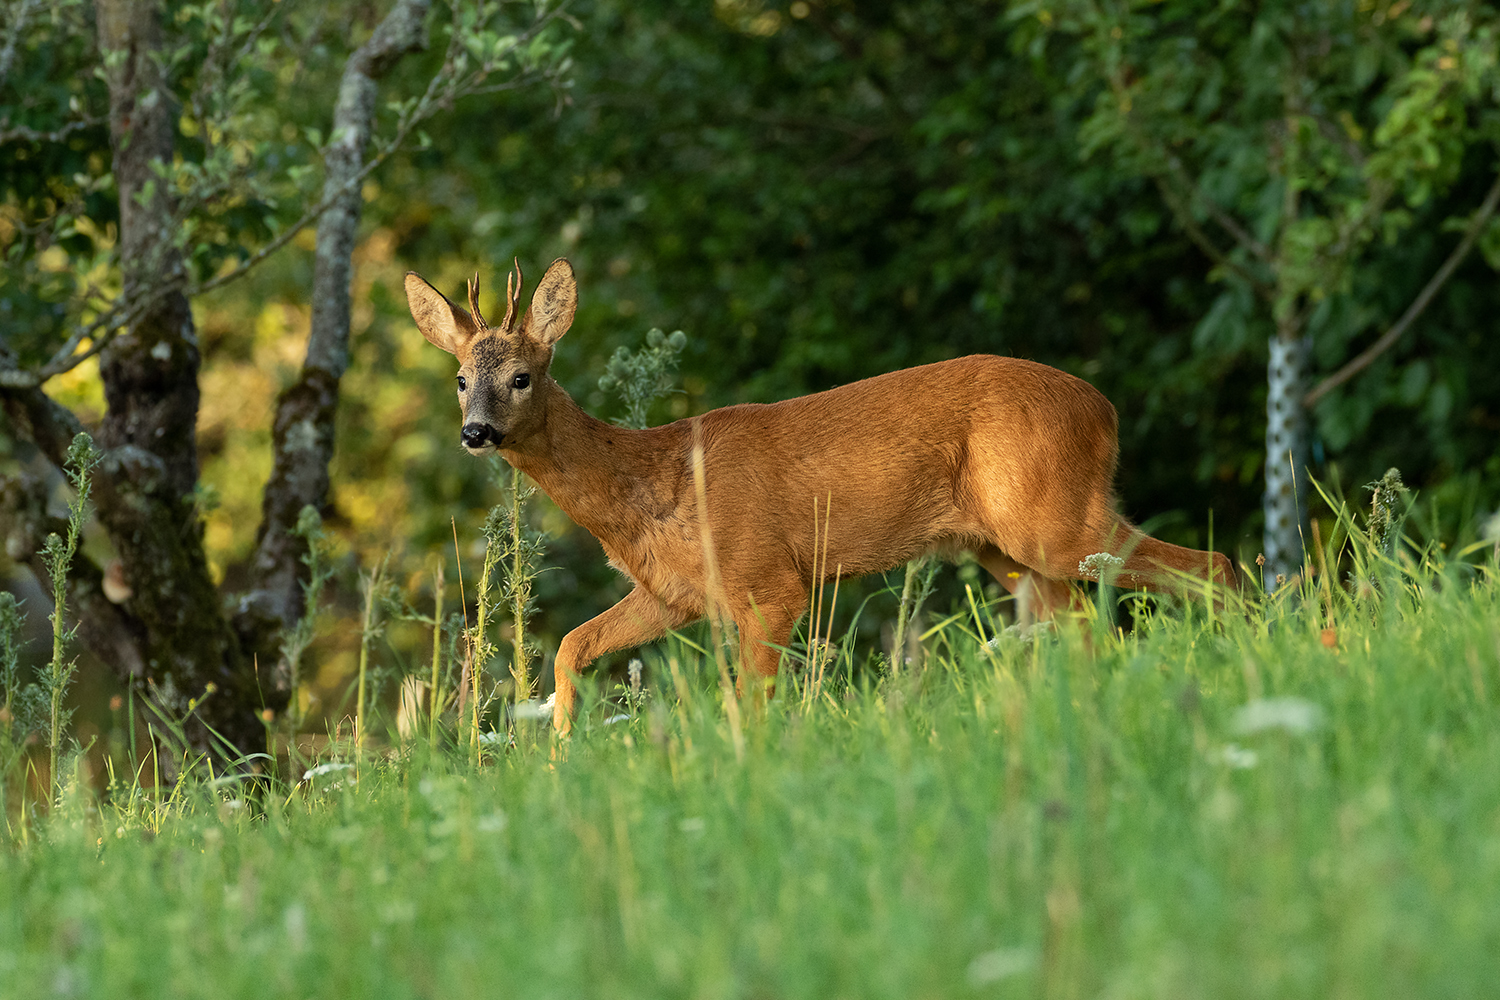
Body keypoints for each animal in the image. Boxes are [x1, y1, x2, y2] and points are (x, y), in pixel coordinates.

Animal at [405, 257, 1236, 734]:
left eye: (522, 376)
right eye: (461, 379)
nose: (476, 431)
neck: (656, 478)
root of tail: (1106, 410)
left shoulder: (770, 581)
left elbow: (749, 703)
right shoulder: (676, 593)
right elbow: (573, 647)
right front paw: (559, 759)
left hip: (1054, 519)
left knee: (1214, 565)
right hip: (1006, 549)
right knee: (1089, 629)